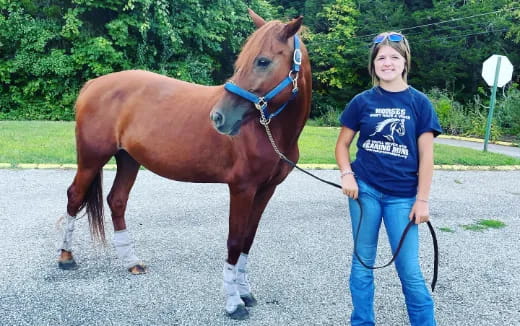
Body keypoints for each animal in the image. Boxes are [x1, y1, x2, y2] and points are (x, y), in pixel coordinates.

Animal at [57, 8, 310, 320]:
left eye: (263, 61)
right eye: (242, 60)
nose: (219, 117)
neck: (267, 130)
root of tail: (94, 84)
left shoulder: (266, 190)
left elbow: (248, 240)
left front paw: (246, 292)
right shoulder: (242, 188)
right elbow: (234, 241)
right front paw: (233, 302)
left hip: (128, 160)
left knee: (116, 200)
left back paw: (131, 261)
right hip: (92, 159)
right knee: (75, 196)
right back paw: (66, 257)